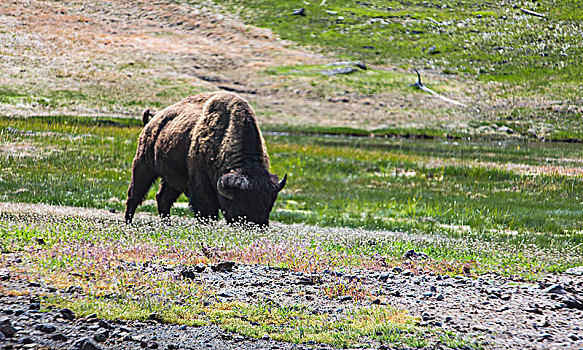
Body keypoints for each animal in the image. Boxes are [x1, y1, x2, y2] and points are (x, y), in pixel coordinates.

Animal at [125, 91, 288, 226]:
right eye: (241, 205)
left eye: (269, 205)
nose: (256, 227)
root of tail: (154, 118)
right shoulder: (201, 189)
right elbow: (207, 212)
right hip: (143, 165)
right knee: (135, 195)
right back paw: (128, 222)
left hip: (172, 180)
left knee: (163, 198)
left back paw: (167, 224)